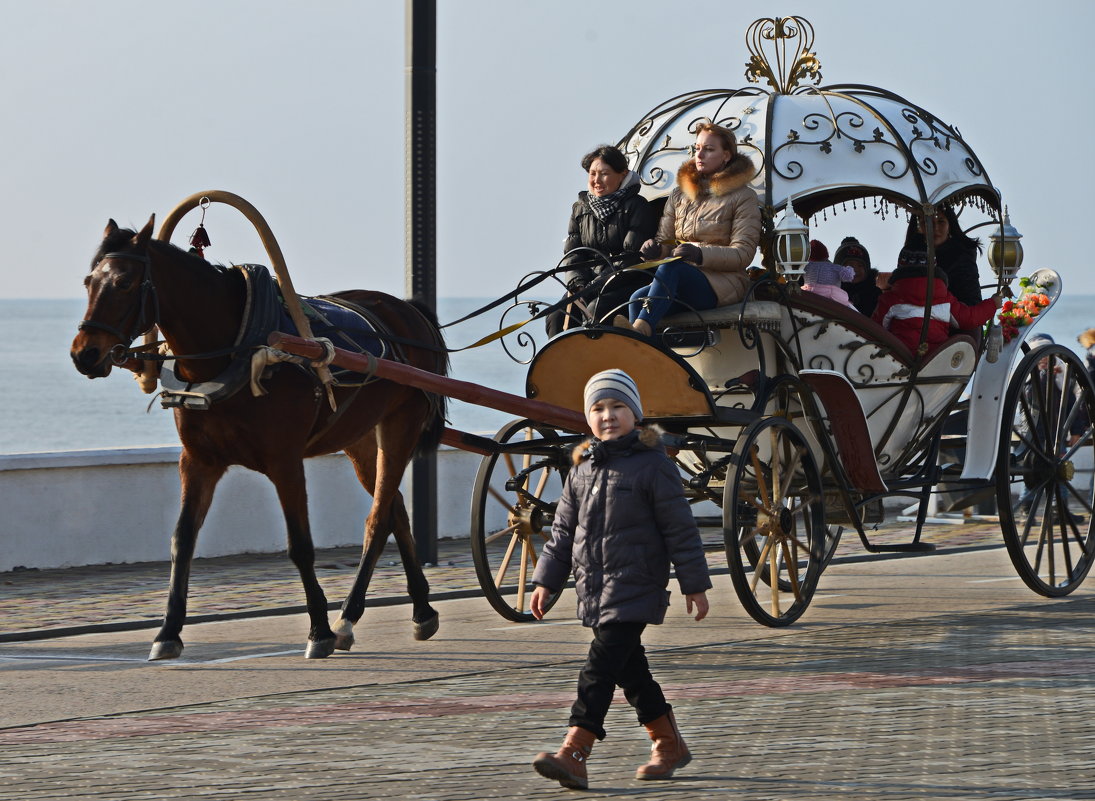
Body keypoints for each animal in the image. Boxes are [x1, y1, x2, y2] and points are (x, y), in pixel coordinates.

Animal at [71, 215, 444, 660]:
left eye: (126, 282)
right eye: (89, 281)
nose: (84, 354)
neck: (237, 347)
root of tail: (410, 311)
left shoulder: (285, 461)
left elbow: (300, 544)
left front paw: (318, 630)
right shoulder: (198, 461)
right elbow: (182, 540)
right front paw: (167, 631)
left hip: (400, 422)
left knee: (378, 516)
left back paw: (348, 617)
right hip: (360, 437)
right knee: (394, 508)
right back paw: (417, 610)